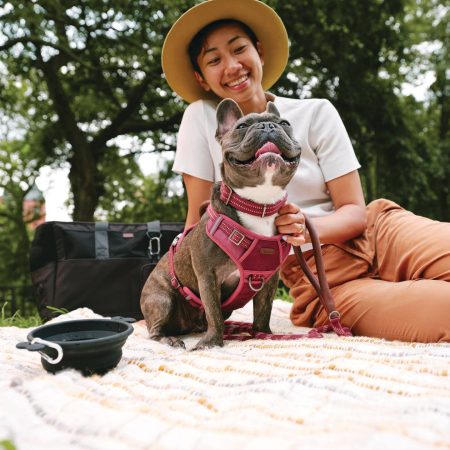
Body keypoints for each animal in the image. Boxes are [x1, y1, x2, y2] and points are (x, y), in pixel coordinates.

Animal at [140, 98, 302, 350]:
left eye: (285, 123)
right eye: (241, 126)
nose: (267, 126)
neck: (259, 205)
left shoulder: (268, 280)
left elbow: (263, 310)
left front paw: (263, 334)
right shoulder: (208, 276)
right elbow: (213, 311)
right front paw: (211, 343)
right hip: (161, 299)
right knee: (156, 329)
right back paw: (171, 339)